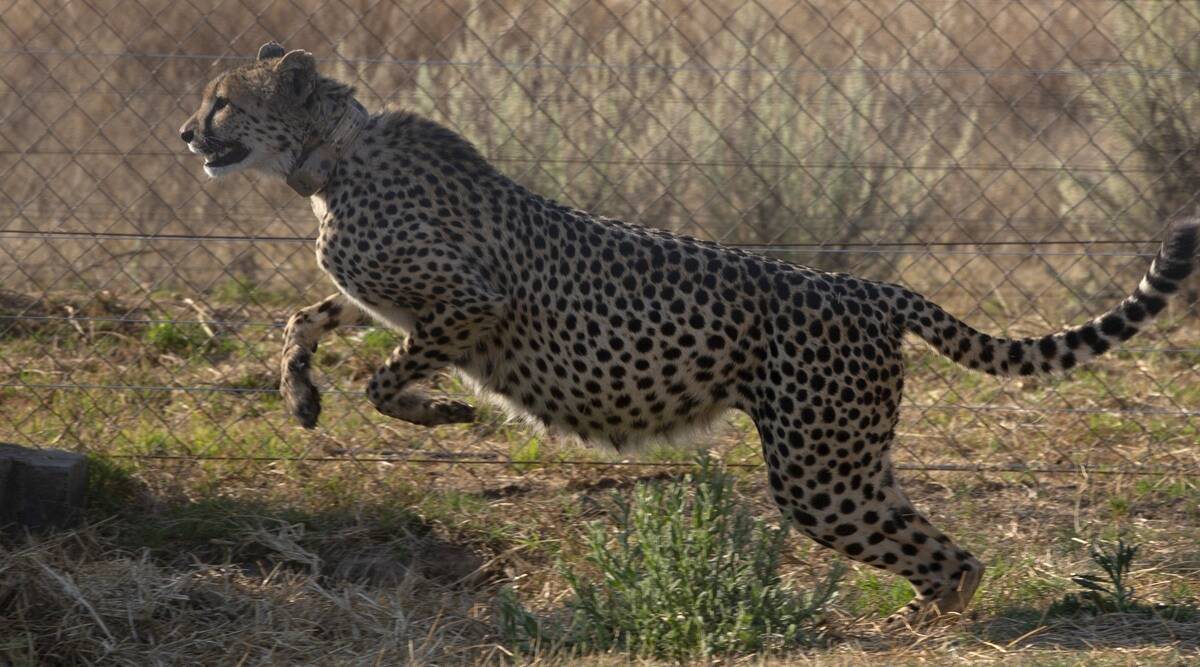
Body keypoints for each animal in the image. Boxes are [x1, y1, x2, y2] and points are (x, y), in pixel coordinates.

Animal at [180, 41, 1200, 623]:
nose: (188, 134)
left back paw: (938, 626)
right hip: (850, 460)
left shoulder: (473, 305)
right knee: (940, 545)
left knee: (947, 555)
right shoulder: (385, 299)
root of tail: (871, 285)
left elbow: (387, 377)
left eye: (223, 101)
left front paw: (443, 417)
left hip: (820, 473)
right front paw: (300, 395)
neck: (326, 159)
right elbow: (305, 319)